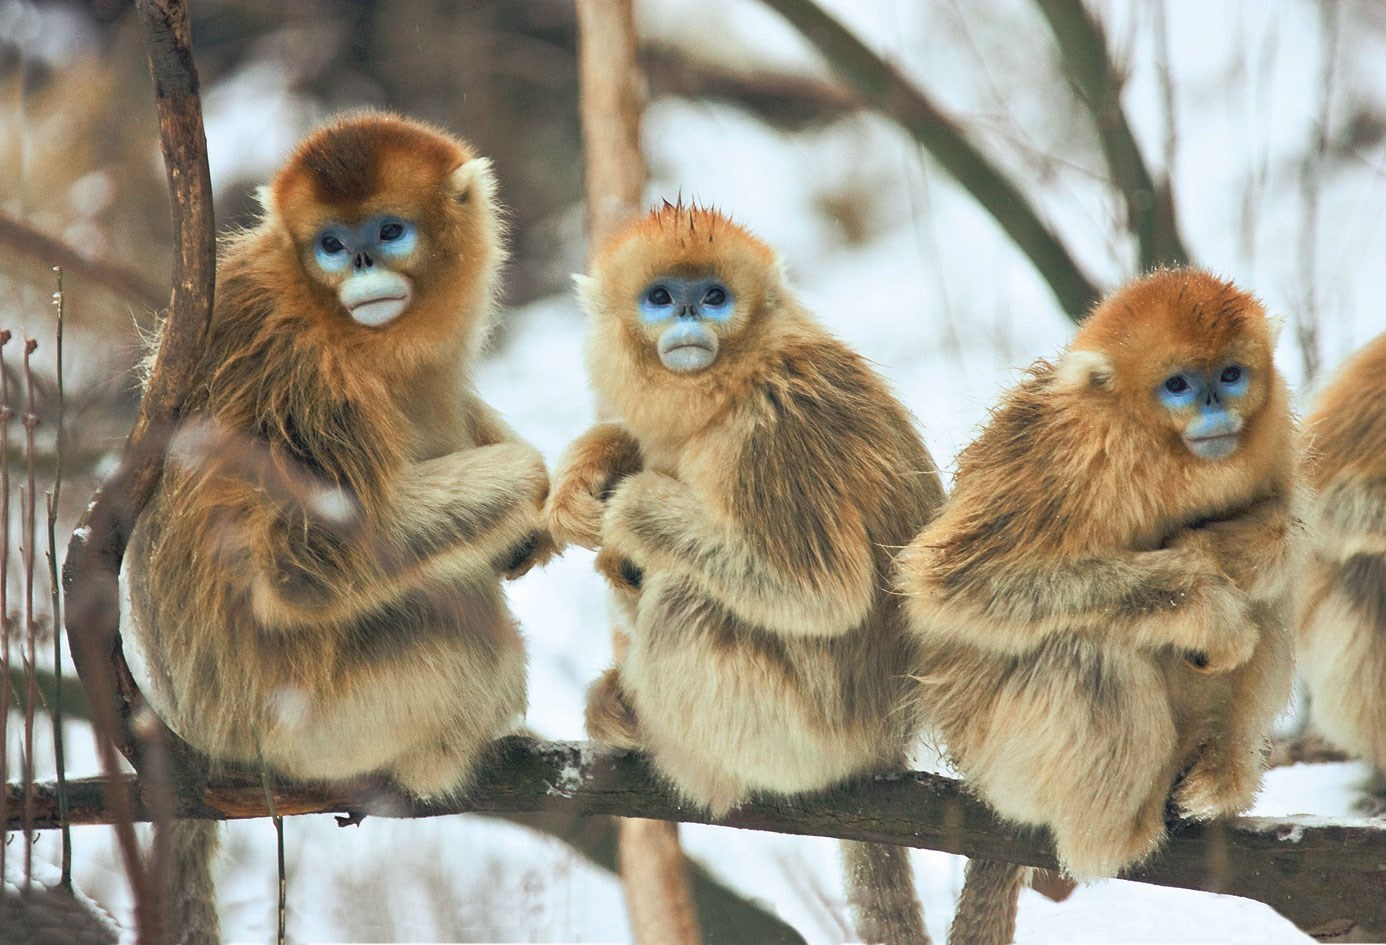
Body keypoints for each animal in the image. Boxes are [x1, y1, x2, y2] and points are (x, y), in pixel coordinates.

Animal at [122, 113, 547, 944]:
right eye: (329, 243)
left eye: (389, 231)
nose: (359, 261)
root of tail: (198, 734)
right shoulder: (302, 373)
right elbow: (300, 564)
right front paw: (535, 478)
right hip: (311, 733)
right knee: (474, 646)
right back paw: (439, 765)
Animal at [546, 202, 945, 945]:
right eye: (660, 297)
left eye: (714, 297)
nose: (688, 318)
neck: (729, 384)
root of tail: (882, 747)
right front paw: (588, 468)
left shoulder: (774, 423)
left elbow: (821, 593)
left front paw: (632, 500)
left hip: (798, 739)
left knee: (683, 602)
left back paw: (683, 761)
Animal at [896, 268, 1299, 942]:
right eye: (1178, 385)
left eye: (1231, 375)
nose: (1214, 406)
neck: (1161, 454)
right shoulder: (1064, 453)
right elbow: (957, 582)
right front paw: (1201, 600)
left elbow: (1286, 529)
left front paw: (1221, 546)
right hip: (1001, 760)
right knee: (1087, 654)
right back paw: (1111, 841)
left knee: (1269, 597)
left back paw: (1220, 774)